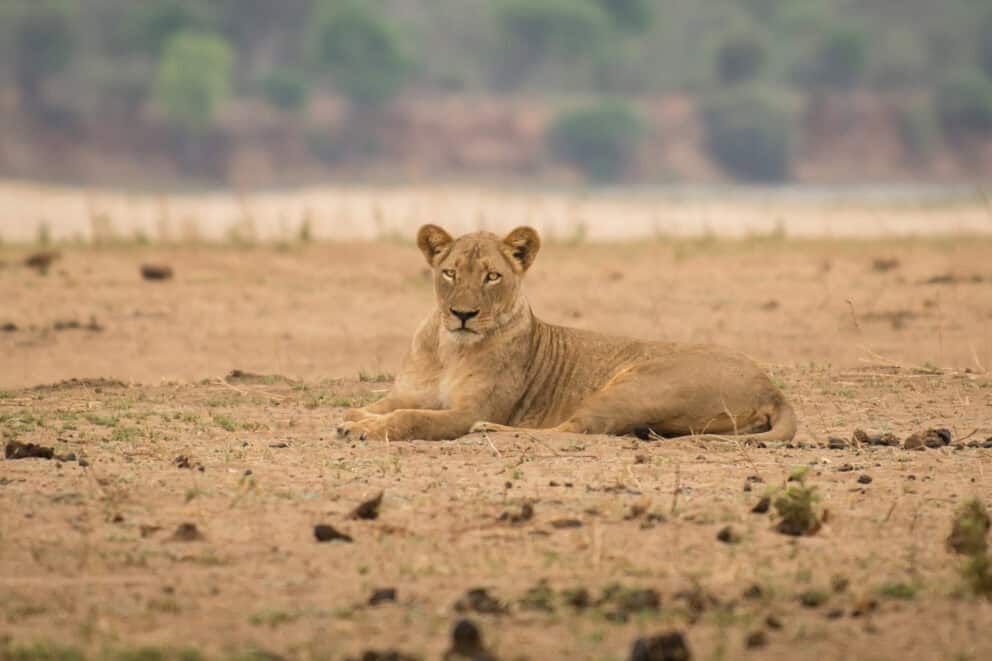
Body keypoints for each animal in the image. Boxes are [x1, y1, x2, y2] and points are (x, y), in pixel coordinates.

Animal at [336, 224, 797, 443]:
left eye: (491, 276)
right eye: (449, 272)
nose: (463, 314)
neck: (450, 347)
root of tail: (771, 387)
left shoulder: (466, 409)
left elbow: (411, 417)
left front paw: (364, 429)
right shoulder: (407, 392)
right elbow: (383, 405)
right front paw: (355, 419)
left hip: (634, 385)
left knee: (580, 427)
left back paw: (489, 431)